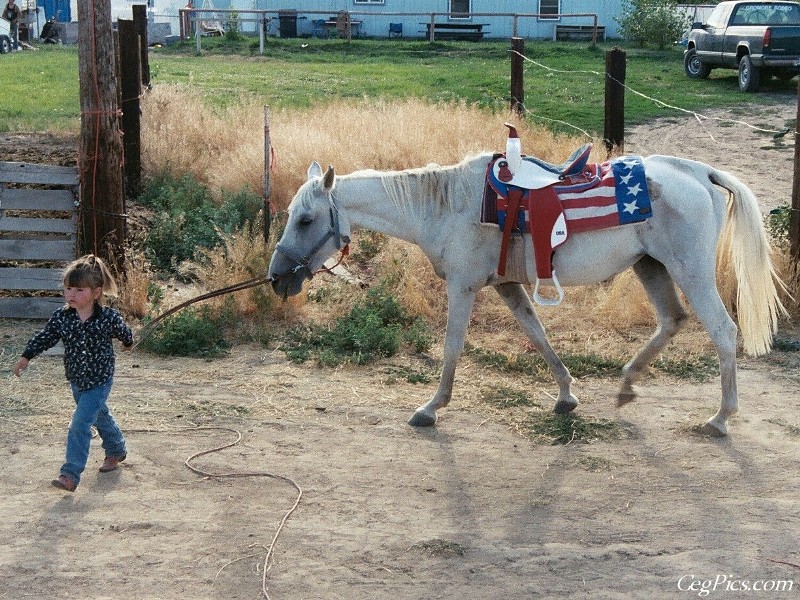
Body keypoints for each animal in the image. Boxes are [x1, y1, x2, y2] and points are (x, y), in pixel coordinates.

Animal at [270, 152, 788, 434]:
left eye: (306, 219)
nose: (277, 277)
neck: (445, 205)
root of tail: (698, 173)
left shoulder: (464, 287)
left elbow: (452, 347)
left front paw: (431, 408)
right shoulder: (507, 287)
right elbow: (538, 336)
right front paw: (567, 396)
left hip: (690, 270)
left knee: (722, 331)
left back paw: (721, 417)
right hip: (652, 267)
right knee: (671, 321)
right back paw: (626, 384)